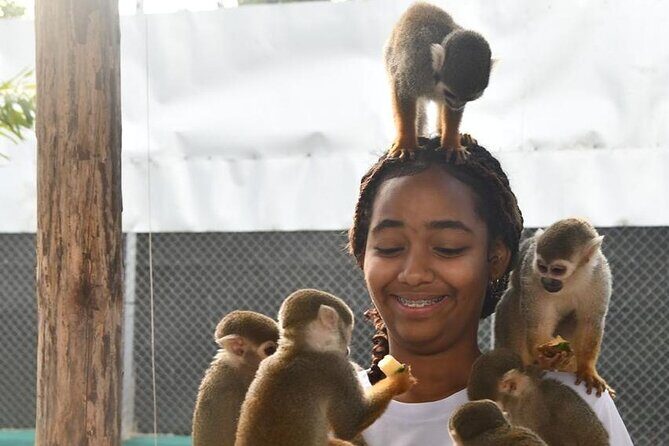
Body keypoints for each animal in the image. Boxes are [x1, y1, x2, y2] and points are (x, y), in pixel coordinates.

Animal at [235, 289, 416, 446]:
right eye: (347, 332)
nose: (347, 350)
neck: (298, 350)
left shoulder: (265, 363)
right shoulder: (335, 367)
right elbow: (350, 425)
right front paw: (398, 380)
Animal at [384, 2, 493, 161]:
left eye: (468, 98)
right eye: (451, 94)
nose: (457, 105)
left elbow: (451, 111)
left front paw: (452, 143)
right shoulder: (417, 66)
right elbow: (403, 90)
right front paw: (406, 143)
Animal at [494, 218, 614, 396]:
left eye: (558, 270)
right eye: (542, 267)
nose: (547, 282)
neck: (571, 280)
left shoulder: (599, 275)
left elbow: (590, 322)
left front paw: (587, 369)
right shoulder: (531, 275)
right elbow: (539, 323)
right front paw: (545, 359)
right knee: (514, 299)